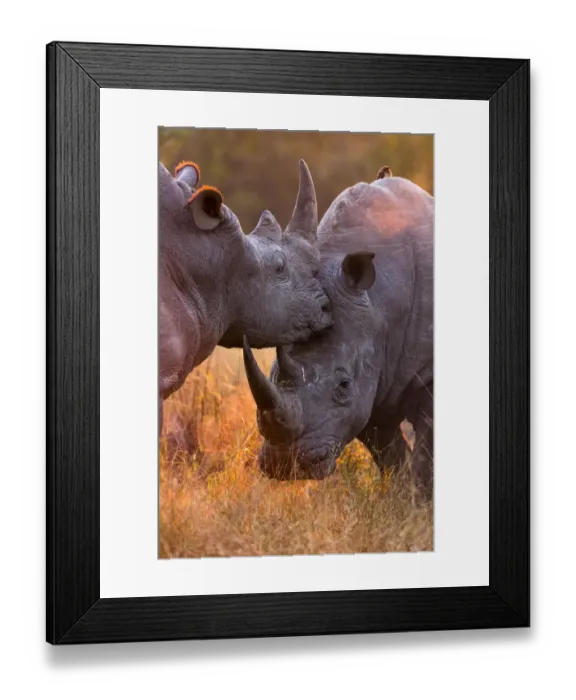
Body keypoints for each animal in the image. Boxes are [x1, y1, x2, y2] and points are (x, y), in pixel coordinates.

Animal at [243, 168, 434, 500]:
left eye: (343, 385)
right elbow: (388, 452)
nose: (286, 466)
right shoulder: (373, 378)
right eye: (273, 374)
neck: (380, 300)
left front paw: (420, 503)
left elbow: (427, 451)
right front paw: (401, 499)